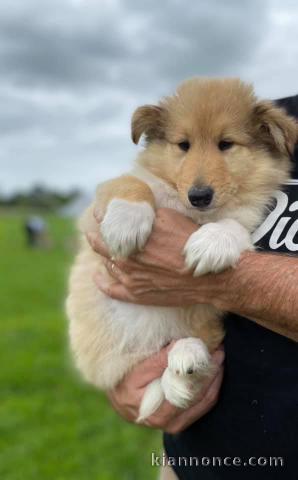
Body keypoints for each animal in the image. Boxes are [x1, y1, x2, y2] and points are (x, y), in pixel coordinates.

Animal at [66, 78, 296, 420]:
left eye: (226, 144)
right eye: (183, 145)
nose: (199, 196)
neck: (194, 212)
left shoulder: (248, 214)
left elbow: (234, 225)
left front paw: (211, 243)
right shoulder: (110, 194)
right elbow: (132, 185)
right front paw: (126, 221)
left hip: (206, 327)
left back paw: (186, 361)